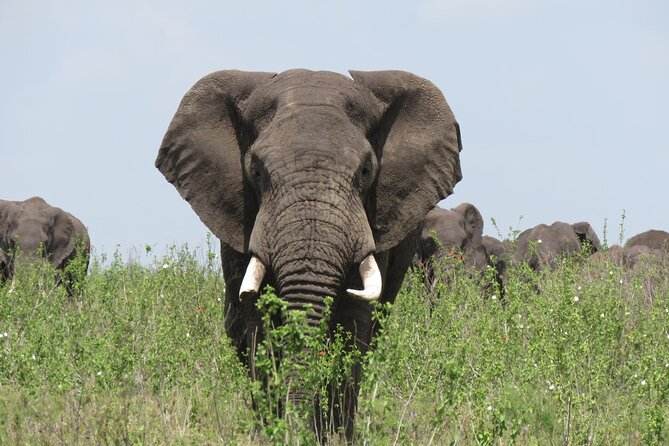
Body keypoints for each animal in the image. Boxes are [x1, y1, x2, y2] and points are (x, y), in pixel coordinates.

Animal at [156, 68, 462, 441]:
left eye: (365, 171)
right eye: (255, 171)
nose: (295, 429)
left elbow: (351, 324)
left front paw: (332, 436)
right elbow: (257, 326)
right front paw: (275, 434)